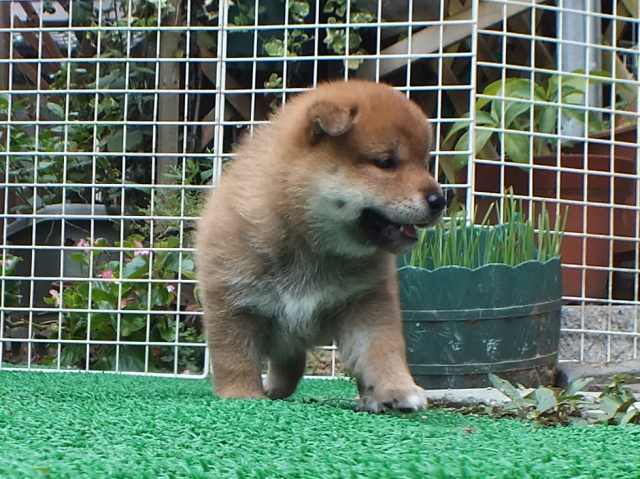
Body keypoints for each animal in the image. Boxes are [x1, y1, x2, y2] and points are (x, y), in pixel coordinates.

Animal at [196, 79, 444, 412]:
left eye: (425, 162)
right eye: (385, 163)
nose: (440, 200)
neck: (310, 244)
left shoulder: (366, 302)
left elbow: (382, 350)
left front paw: (398, 389)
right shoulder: (232, 300)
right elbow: (235, 357)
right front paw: (241, 395)